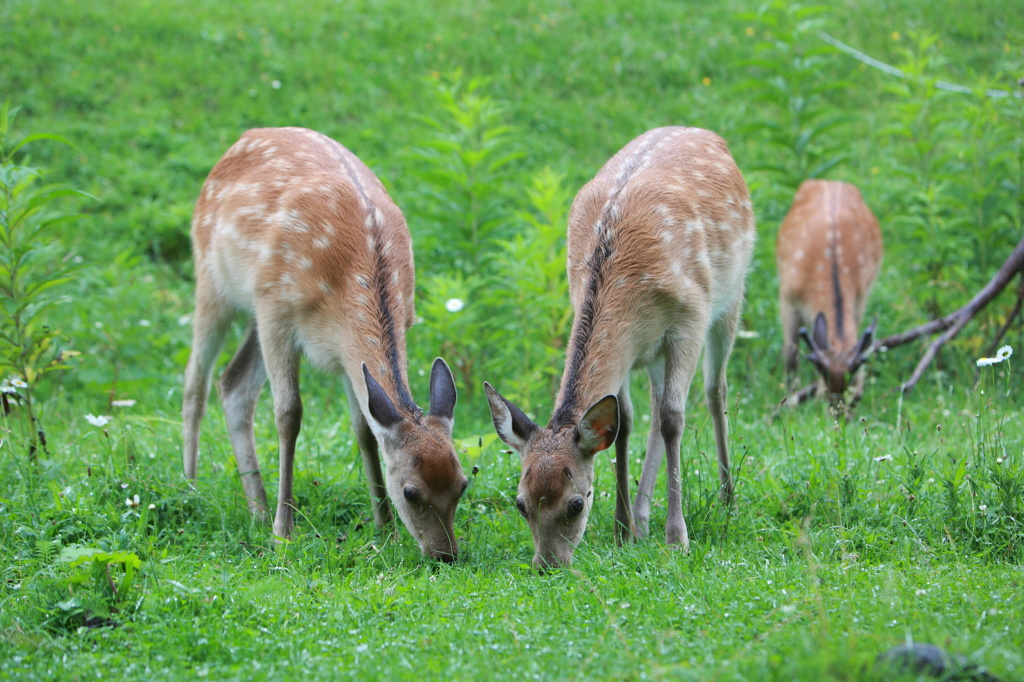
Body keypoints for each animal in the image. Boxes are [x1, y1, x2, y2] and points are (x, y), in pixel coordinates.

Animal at [181, 125, 468, 557]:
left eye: (463, 484)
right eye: (411, 492)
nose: (445, 555)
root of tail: (241, 139)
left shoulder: (349, 351)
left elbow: (363, 427)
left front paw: (384, 526)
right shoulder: (276, 311)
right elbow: (289, 414)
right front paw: (284, 531)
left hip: (250, 311)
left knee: (232, 383)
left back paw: (256, 507)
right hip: (214, 280)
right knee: (195, 381)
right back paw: (193, 487)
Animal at [483, 125, 757, 569]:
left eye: (577, 503)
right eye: (521, 503)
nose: (547, 564)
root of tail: (704, 132)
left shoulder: (689, 320)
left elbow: (674, 418)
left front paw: (677, 538)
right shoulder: (628, 350)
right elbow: (626, 421)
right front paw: (622, 530)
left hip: (732, 294)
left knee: (715, 391)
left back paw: (727, 496)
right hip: (654, 352)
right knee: (656, 407)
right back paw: (643, 519)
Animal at [774, 178, 880, 405]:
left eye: (855, 396)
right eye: (822, 371)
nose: (838, 412)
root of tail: (831, 181)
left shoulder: (860, 297)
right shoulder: (787, 296)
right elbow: (791, 356)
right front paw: (790, 400)